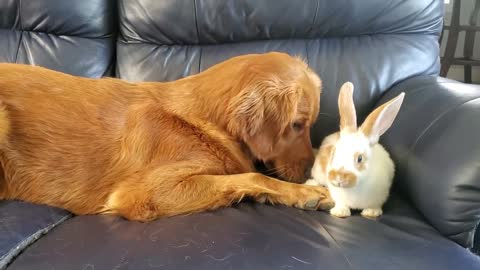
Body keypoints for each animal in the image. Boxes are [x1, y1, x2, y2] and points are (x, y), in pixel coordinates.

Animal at [0, 52, 332, 221]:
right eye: (297, 125)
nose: (309, 171)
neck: (203, 118)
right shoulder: (141, 194)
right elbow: (252, 175)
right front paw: (306, 193)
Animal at [306, 81, 404, 217]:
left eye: (359, 158)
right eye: (333, 153)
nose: (338, 178)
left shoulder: (381, 195)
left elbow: (375, 205)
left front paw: (371, 212)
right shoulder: (337, 194)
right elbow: (341, 203)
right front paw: (340, 212)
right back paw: (311, 184)